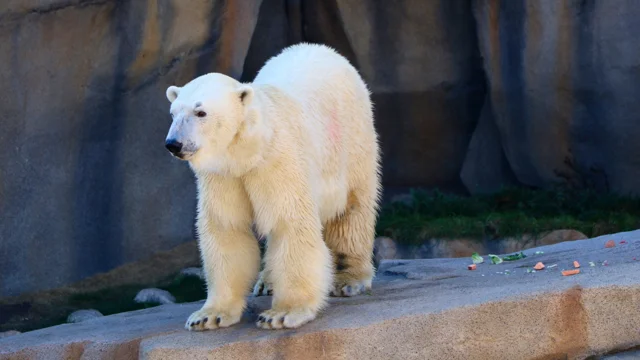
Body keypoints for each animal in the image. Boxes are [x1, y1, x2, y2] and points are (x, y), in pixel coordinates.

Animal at [165, 42, 380, 330]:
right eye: (173, 113)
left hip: (352, 139)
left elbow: (289, 222)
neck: (247, 153)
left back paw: (349, 279)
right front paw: (208, 316)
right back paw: (267, 282)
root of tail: (323, 49)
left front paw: (281, 314)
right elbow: (227, 227)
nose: (173, 144)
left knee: (352, 208)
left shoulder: (277, 161)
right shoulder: (224, 175)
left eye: (201, 112)